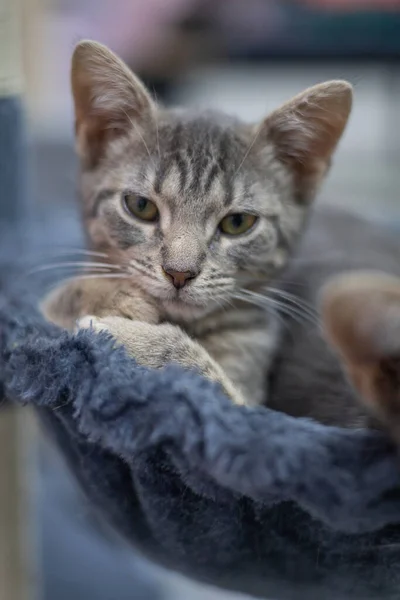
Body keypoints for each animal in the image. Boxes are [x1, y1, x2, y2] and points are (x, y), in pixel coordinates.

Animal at [42, 41, 352, 408]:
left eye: (237, 223)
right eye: (141, 207)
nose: (179, 273)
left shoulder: (246, 401)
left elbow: (207, 381)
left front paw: (127, 337)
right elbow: (54, 297)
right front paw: (111, 297)